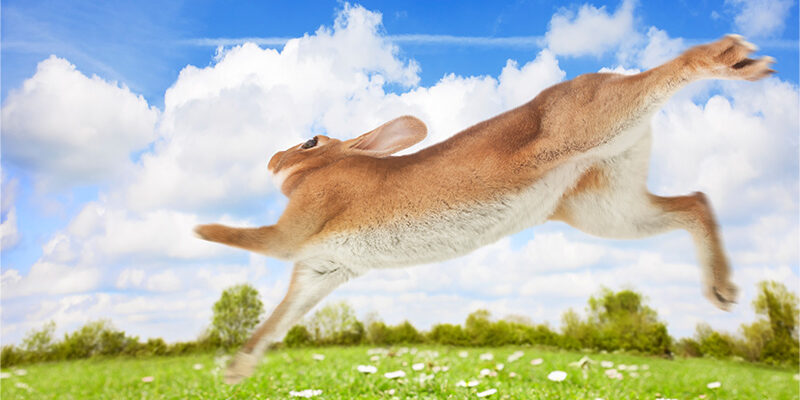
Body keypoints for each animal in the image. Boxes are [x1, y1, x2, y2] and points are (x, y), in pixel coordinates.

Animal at [194, 35, 774, 384]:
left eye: (311, 141)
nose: (272, 160)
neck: (329, 168)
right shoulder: (321, 269)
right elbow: (277, 319)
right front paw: (237, 369)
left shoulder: (296, 230)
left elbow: (254, 238)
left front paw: (198, 228)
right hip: (606, 208)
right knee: (694, 201)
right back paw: (723, 290)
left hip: (595, 122)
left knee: (673, 72)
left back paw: (737, 59)